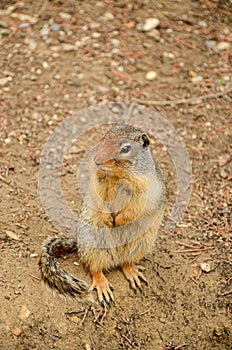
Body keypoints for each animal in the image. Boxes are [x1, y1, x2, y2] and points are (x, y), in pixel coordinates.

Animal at [39, 124, 166, 304]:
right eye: (101, 139)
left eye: (126, 148)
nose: (97, 161)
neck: (118, 175)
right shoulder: (98, 179)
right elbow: (97, 196)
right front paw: (108, 218)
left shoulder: (146, 189)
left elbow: (136, 207)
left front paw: (119, 220)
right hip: (94, 244)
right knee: (94, 268)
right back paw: (102, 285)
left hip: (142, 244)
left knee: (125, 263)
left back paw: (132, 272)